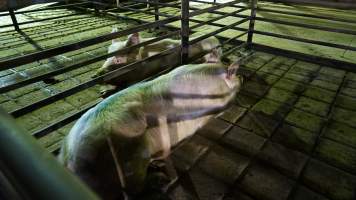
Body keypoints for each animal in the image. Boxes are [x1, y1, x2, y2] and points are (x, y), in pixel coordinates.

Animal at [59, 50, 242, 199]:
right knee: (134, 191)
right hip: (132, 157)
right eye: (236, 77)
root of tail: (69, 161)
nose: (241, 78)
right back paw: (161, 178)